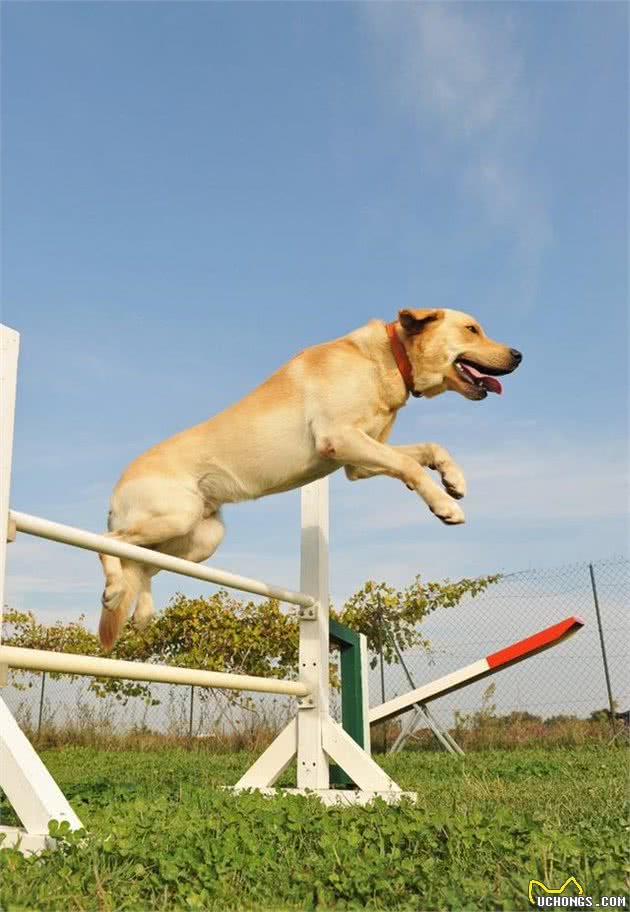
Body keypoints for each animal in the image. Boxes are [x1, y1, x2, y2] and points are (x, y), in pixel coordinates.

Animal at [100, 312, 524, 648]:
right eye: (472, 329)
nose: (519, 355)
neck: (388, 357)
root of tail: (115, 490)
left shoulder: (359, 461)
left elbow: (428, 450)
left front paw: (454, 479)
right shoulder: (340, 439)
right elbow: (411, 465)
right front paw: (444, 505)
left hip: (201, 537)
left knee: (143, 562)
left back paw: (142, 612)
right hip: (174, 515)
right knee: (113, 544)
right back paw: (114, 589)